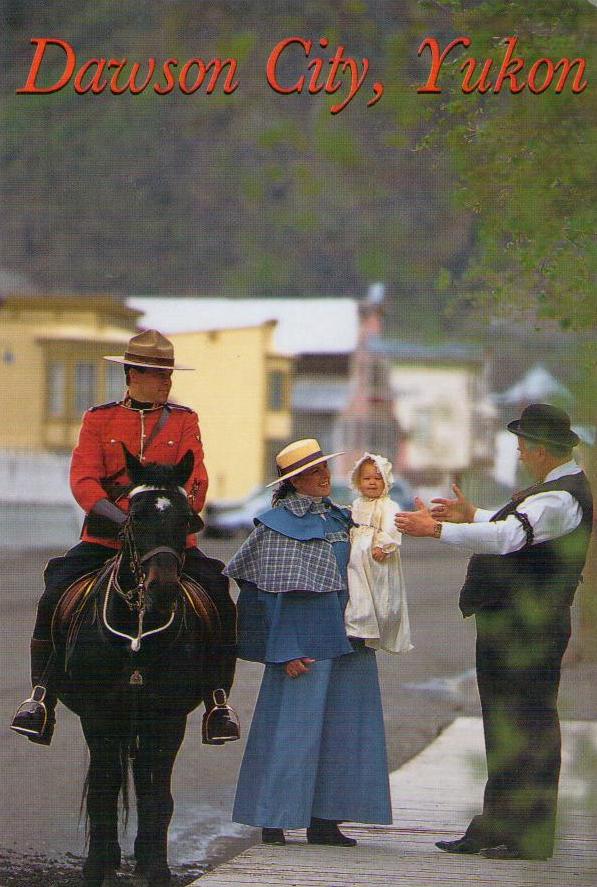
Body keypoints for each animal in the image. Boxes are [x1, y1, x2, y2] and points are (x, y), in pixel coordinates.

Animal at [51, 450, 235, 887]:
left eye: (185, 518)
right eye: (135, 517)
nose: (161, 589)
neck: (137, 631)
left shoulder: (167, 719)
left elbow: (158, 795)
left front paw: (157, 868)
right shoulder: (98, 717)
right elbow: (103, 790)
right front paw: (95, 868)